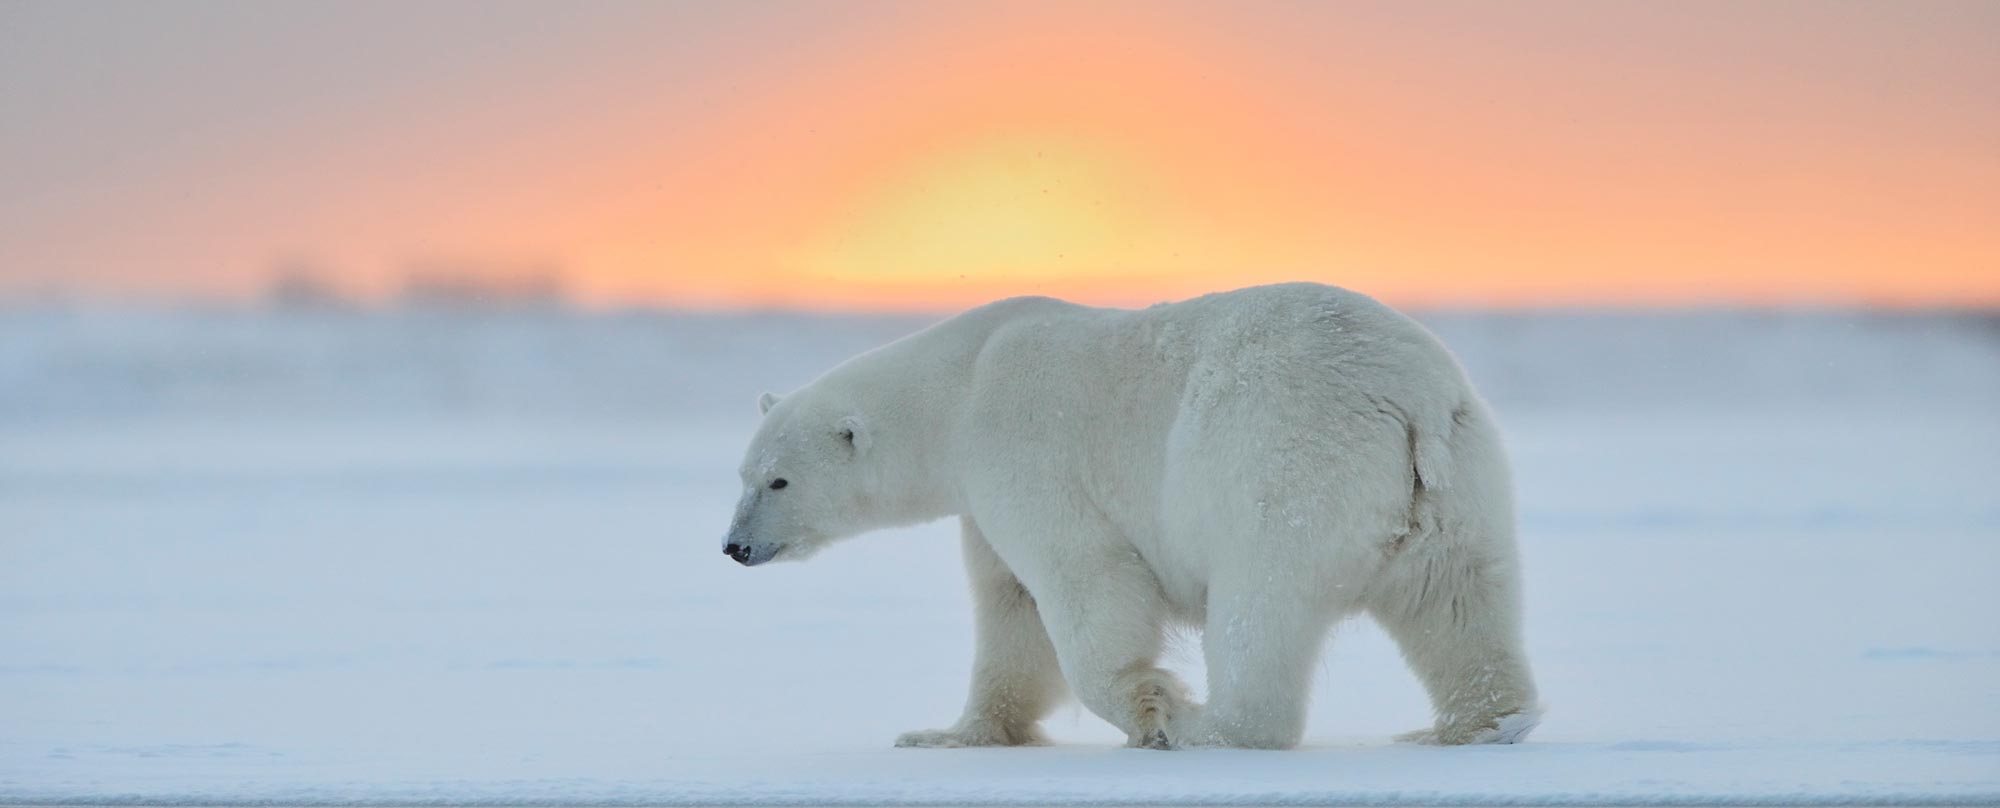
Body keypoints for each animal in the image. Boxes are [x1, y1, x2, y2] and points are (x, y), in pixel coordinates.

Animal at [728, 280, 1536, 748]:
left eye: (778, 481)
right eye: (741, 474)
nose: (735, 547)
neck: (960, 385)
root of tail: (1407, 397)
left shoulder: (1022, 448)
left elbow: (1084, 580)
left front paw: (1149, 707)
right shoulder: (981, 502)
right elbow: (1009, 607)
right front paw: (948, 734)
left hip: (1284, 456)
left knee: (1262, 602)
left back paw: (1209, 726)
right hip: (1456, 483)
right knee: (1461, 599)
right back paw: (1480, 722)